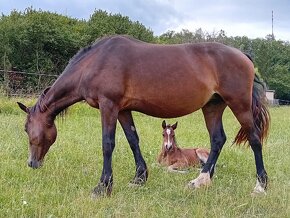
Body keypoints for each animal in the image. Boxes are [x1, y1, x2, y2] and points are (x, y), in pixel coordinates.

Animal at [16, 35, 270, 197]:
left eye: (27, 129)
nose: (32, 163)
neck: (95, 61)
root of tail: (243, 55)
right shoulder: (123, 110)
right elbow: (132, 140)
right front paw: (139, 178)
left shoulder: (109, 106)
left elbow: (108, 144)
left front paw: (103, 187)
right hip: (213, 107)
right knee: (217, 140)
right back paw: (200, 180)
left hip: (239, 105)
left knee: (254, 139)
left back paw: (260, 186)